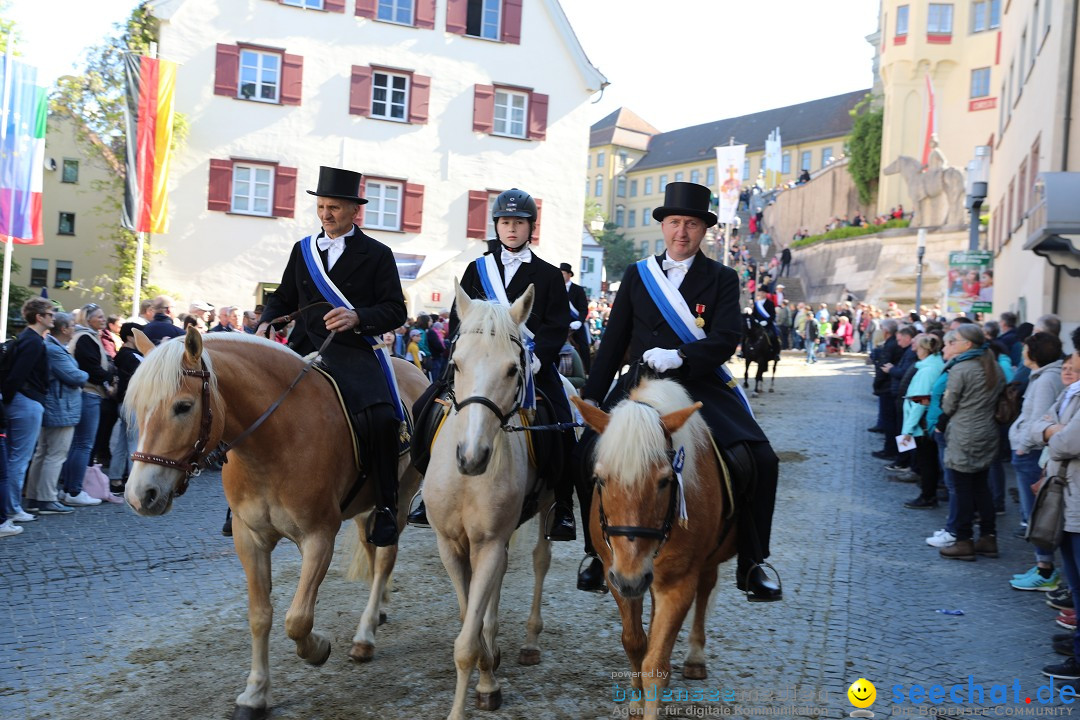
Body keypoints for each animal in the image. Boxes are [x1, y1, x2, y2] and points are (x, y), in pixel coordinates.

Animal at [124, 330, 427, 720]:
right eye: (137, 408)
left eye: (183, 406)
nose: (139, 495)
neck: (274, 440)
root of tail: (414, 369)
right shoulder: (249, 538)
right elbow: (260, 616)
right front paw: (255, 694)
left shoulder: (318, 537)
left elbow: (297, 619)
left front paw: (317, 649)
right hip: (367, 507)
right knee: (373, 552)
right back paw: (379, 612)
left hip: (400, 497)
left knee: (386, 555)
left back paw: (365, 636)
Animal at [423, 282, 557, 720]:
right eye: (456, 364)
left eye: (513, 369)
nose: (472, 457)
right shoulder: (451, 546)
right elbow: (471, 617)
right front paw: (487, 668)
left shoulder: (489, 543)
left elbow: (467, 641)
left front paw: (479, 690)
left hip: (547, 508)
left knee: (540, 560)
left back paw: (529, 643)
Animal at [570, 379, 738, 716]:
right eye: (600, 479)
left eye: (664, 481)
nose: (632, 577)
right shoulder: (618, 576)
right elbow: (635, 642)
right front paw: (636, 699)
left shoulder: (677, 583)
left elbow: (656, 664)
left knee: (706, 588)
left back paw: (695, 657)